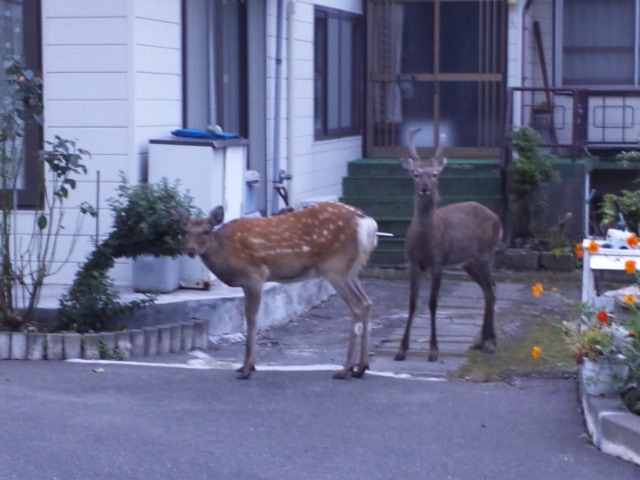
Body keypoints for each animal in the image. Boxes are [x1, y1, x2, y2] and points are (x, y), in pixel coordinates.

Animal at [175, 202, 378, 378]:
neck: (227, 254)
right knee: (367, 302)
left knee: (357, 306)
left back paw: (345, 370)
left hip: (335, 267)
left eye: (206, 231)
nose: (190, 250)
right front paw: (247, 366)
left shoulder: (255, 275)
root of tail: (368, 223)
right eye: (185, 230)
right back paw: (361, 367)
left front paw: (247, 368)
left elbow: (252, 318)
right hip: (351, 270)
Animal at [392, 129, 502, 362]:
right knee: (488, 289)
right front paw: (401, 349)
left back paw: (490, 343)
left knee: (491, 289)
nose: (425, 189)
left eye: (434, 174)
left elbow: (433, 303)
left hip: (486, 254)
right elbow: (412, 303)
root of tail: (497, 218)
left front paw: (434, 350)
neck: (424, 242)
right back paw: (480, 341)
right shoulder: (411, 263)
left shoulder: (438, 263)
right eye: (416, 174)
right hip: (469, 262)